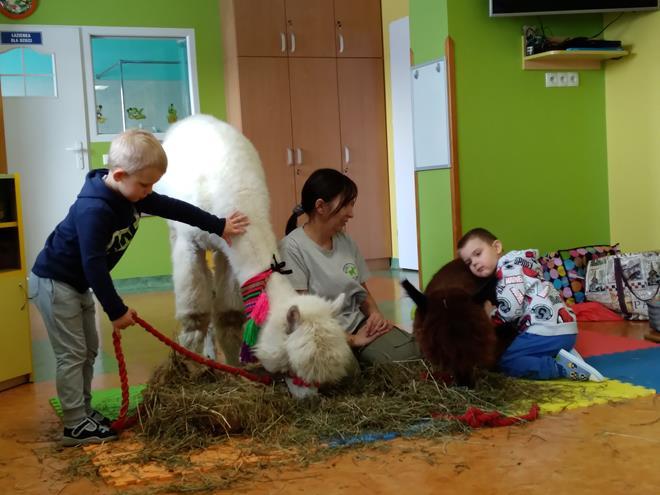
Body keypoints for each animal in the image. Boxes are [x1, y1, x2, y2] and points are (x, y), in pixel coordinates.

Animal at [157, 114, 356, 388]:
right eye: (293, 366)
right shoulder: (190, 243)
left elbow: (229, 315)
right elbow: (195, 315)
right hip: (176, 229)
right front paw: (192, 367)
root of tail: (194, 118)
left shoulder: (229, 255)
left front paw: (234, 368)